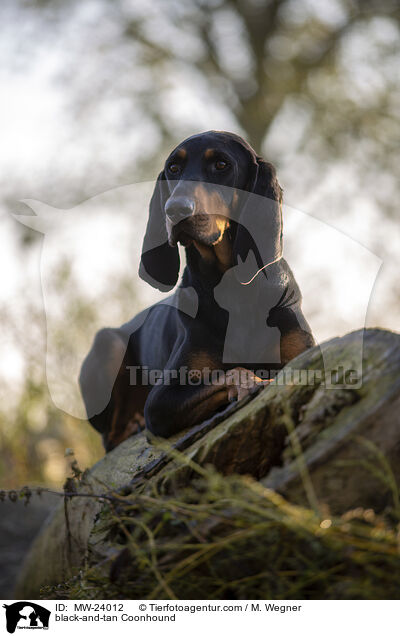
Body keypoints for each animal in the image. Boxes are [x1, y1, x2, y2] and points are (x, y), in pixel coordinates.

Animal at [79, 129, 316, 450]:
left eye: (221, 165)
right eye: (173, 168)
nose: (175, 209)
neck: (235, 292)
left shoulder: (301, 354)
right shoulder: (162, 401)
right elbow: (233, 373)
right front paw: (251, 382)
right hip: (108, 344)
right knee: (111, 437)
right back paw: (133, 425)